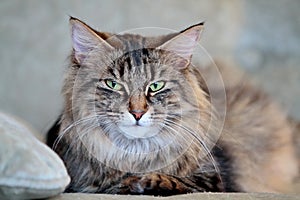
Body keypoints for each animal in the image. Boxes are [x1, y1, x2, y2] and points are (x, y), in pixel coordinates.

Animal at [45, 17, 298, 195]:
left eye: (156, 86)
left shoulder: (216, 177)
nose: (137, 112)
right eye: (113, 84)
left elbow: (176, 180)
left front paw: (143, 182)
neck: (136, 155)